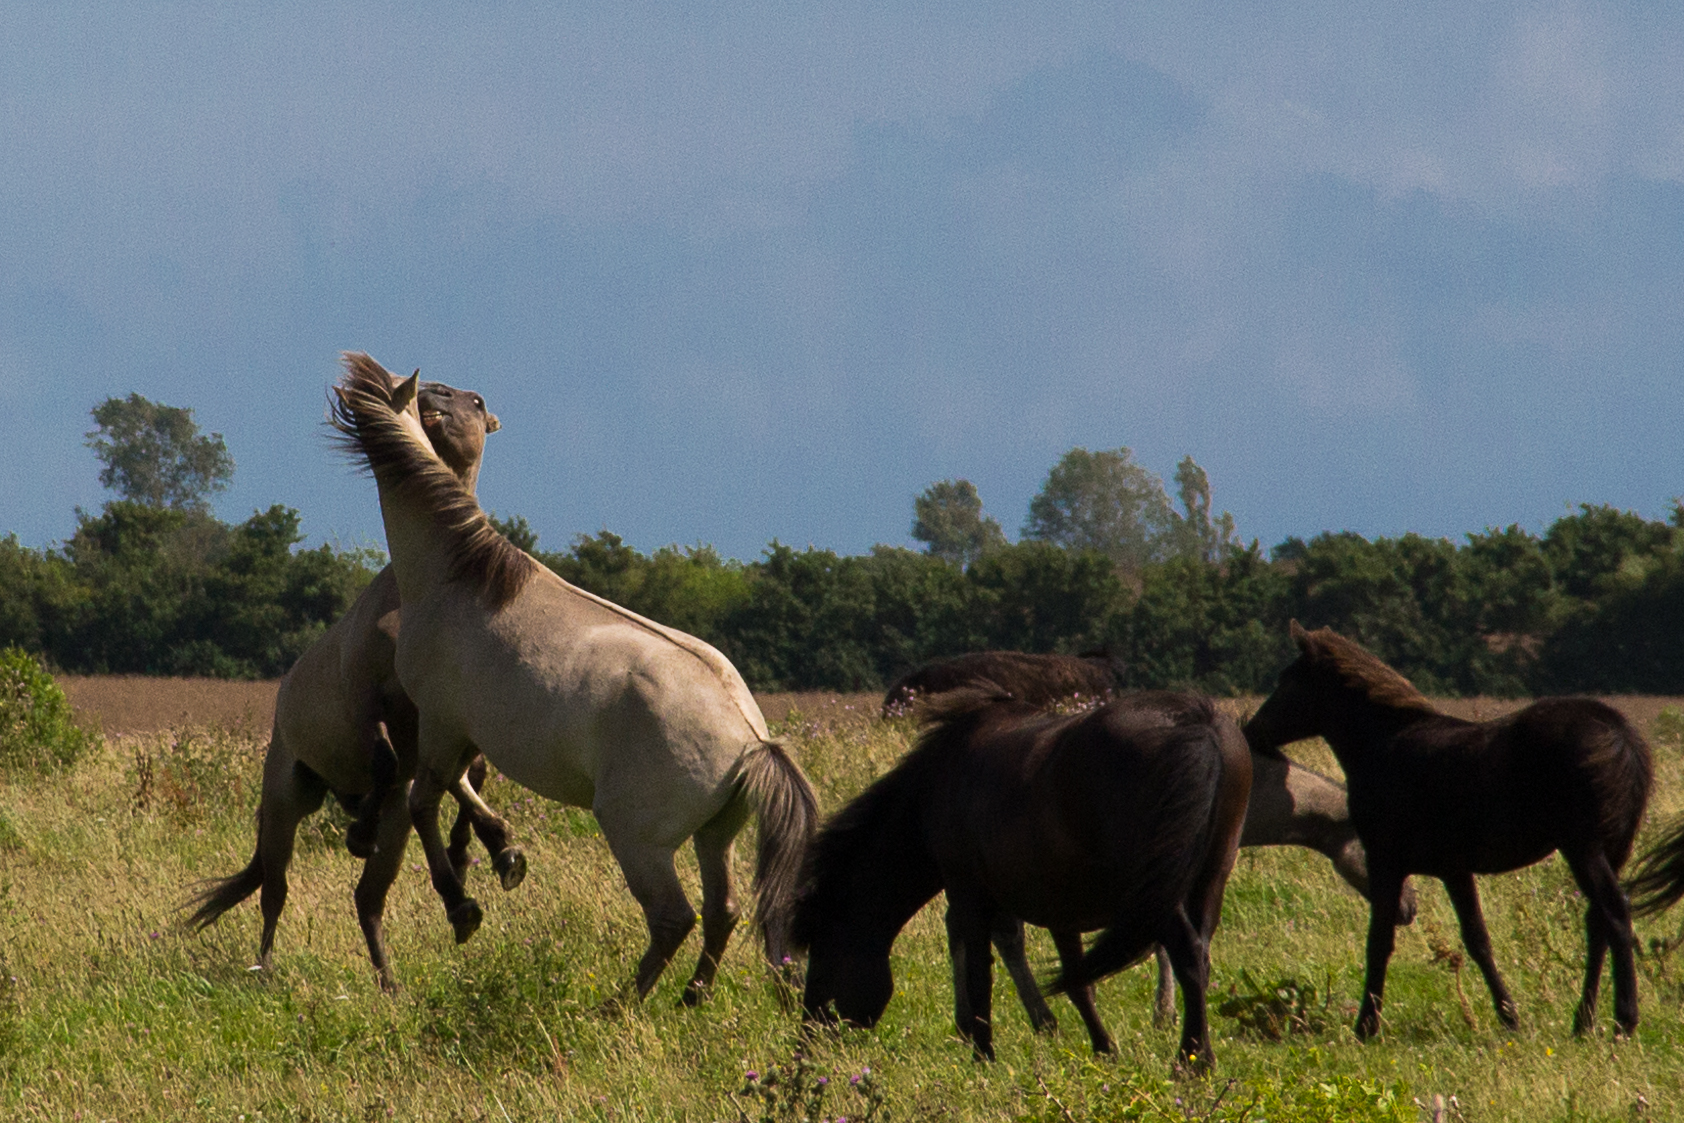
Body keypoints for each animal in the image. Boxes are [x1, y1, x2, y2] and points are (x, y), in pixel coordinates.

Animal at [187, 380, 522, 989]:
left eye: (477, 402)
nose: (434, 394)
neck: (408, 601)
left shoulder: (443, 718)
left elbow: (465, 777)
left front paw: (489, 850)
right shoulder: (368, 699)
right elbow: (393, 761)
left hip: (383, 824)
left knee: (368, 896)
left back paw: (394, 979)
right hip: (285, 801)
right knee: (275, 892)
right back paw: (267, 966)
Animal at [328, 353, 815, 1003]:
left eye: (462, 398)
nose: (435, 394)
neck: (458, 577)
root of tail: (752, 741)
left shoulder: (441, 722)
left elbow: (424, 802)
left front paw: (462, 906)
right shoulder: (463, 734)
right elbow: (456, 789)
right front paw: (502, 853)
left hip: (638, 841)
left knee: (673, 919)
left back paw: (618, 1006)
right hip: (716, 838)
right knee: (723, 912)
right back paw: (692, 996)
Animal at [788, 686, 1252, 1070]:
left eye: (822, 954)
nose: (805, 1042)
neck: (937, 785)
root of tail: (1195, 720)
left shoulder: (968, 894)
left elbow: (980, 976)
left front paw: (982, 1055)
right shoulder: (1062, 906)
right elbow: (1078, 982)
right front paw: (1103, 1049)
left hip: (1160, 889)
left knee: (1187, 953)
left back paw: (1194, 1059)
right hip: (1209, 877)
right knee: (1200, 955)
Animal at [1246, 619, 1650, 1043]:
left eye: (1287, 679)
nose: (1252, 730)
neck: (1385, 744)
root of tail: (1620, 735)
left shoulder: (1386, 862)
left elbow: (1379, 941)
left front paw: (1366, 1026)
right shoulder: (1455, 870)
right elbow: (1478, 940)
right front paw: (1510, 1017)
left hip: (1583, 848)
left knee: (1614, 911)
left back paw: (1623, 1020)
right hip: (1612, 849)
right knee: (1597, 921)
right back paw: (1583, 1021)